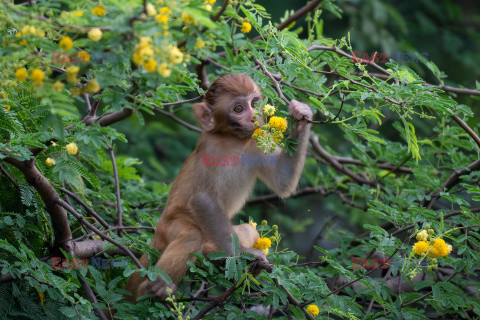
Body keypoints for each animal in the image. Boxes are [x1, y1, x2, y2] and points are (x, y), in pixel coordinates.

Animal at [124, 72, 314, 300]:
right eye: (238, 108)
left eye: (254, 103)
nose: (254, 117)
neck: (234, 140)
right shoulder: (211, 148)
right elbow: (203, 199)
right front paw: (242, 254)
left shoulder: (256, 141)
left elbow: (282, 180)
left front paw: (300, 115)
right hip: (169, 226)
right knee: (191, 236)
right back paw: (156, 286)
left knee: (247, 231)